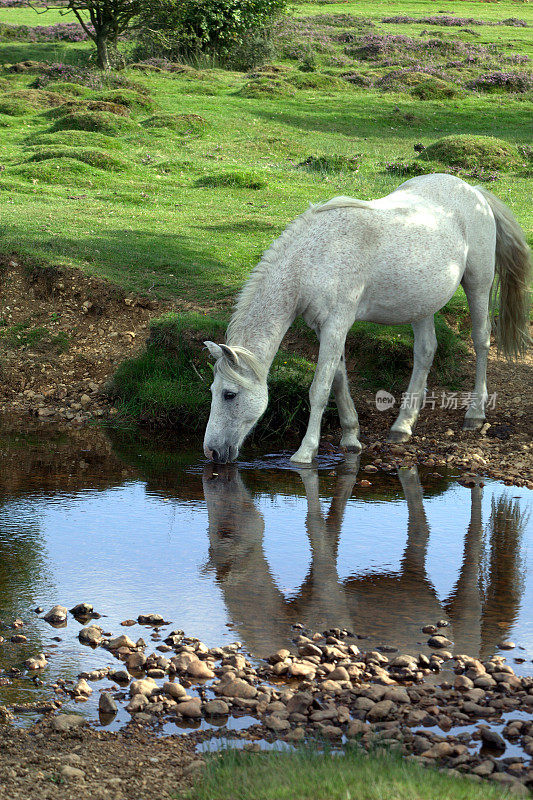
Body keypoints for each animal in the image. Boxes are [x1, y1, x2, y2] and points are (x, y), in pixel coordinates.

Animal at [203, 175, 528, 462]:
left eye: (229, 394)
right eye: (213, 391)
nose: (211, 452)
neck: (314, 260)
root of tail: (474, 191)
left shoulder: (336, 326)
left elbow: (319, 389)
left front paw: (305, 452)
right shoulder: (325, 329)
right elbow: (338, 380)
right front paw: (351, 437)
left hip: (478, 284)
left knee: (481, 341)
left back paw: (475, 414)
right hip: (421, 305)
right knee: (425, 350)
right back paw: (403, 425)